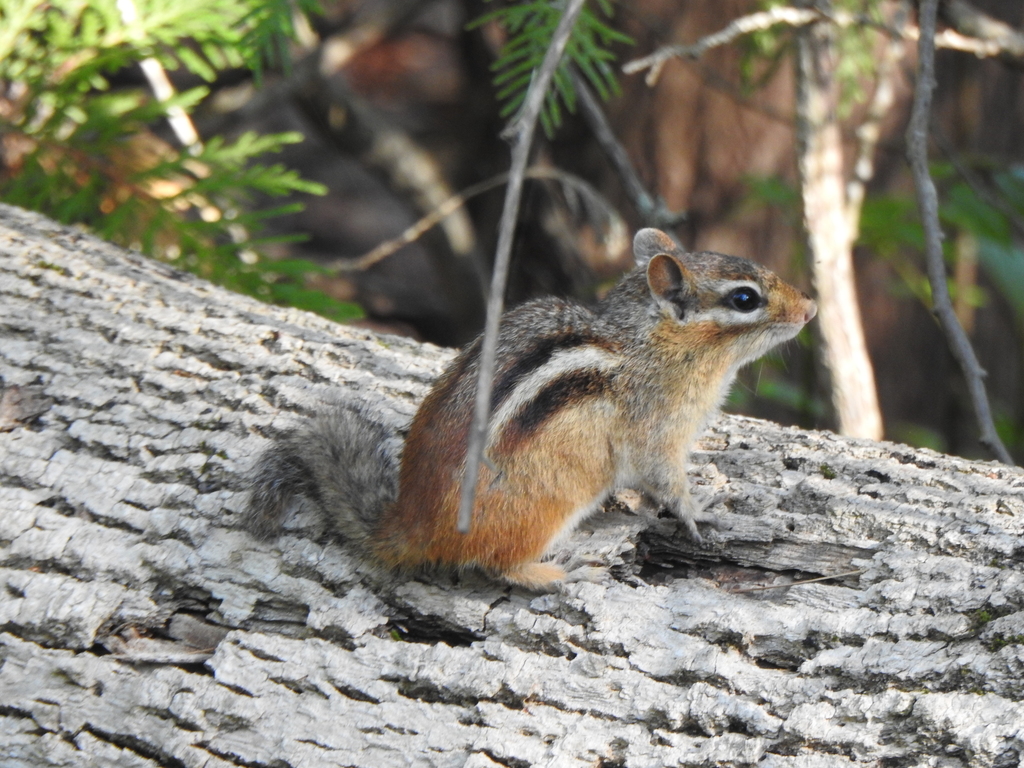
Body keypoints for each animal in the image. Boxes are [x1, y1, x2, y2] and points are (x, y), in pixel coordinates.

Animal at [246, 228, 817, 590]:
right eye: (745, 299)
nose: (811, 308)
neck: (649, 342)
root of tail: (412, 523)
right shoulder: (656, 428)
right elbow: (665, 479)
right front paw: (698, 511)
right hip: (549, 505)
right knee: (499, 566)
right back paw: (561, 575)